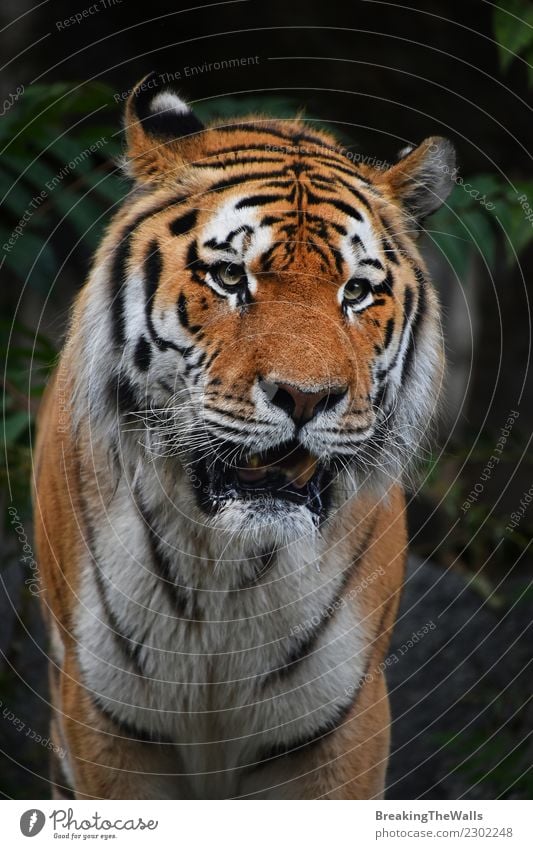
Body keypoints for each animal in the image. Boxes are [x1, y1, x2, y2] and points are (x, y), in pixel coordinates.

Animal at [33, 71, 454, 796]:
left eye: (356, 292)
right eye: (231, 277)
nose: (306, 396)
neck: (225, 567)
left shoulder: (337, 722)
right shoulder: (105, 717)